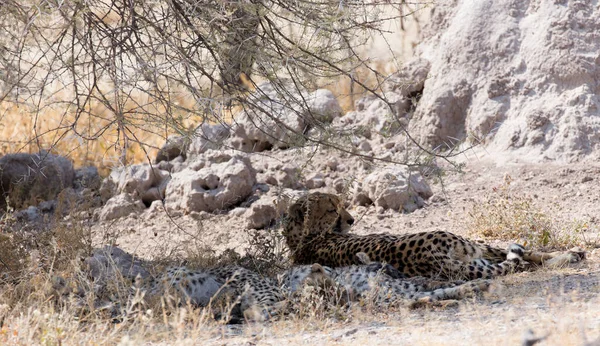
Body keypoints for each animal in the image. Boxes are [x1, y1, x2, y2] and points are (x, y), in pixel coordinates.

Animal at [282, 192, 584, 282]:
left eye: (341, 204)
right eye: (332, 209)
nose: (351, 220)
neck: (303, 239)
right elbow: (526, 253)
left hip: (472, 255)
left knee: (523, 258)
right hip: (468, 247)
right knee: (518, 258)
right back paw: (568, 256)